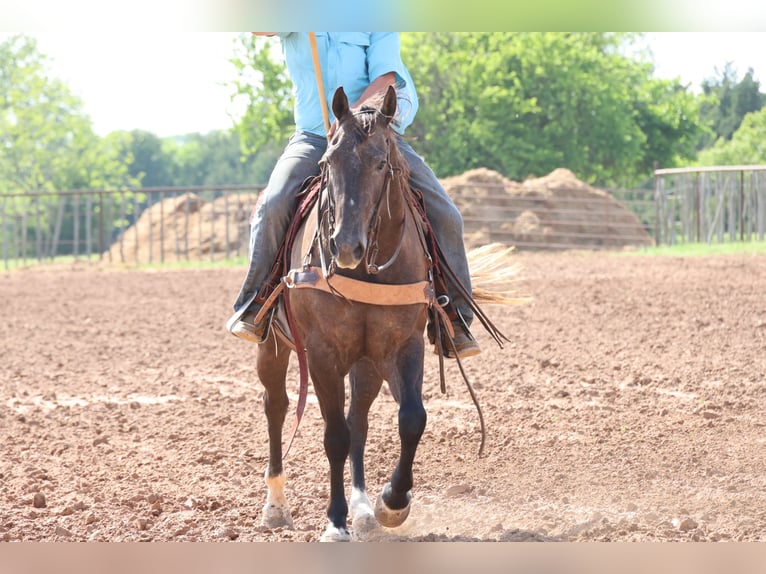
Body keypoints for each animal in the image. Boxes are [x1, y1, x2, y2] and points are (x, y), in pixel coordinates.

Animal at [253, 84, 515, 541]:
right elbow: (334, 435)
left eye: (380, 162)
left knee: (359, 417)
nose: (345, 246)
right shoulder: (321, 353)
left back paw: (362, 510)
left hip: (367, 362)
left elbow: (411, 419)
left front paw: (392, 503)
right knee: (277, 406)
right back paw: (276, 506)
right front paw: (334, 522)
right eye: (328, 162)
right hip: (274, 345)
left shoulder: (403, 344)